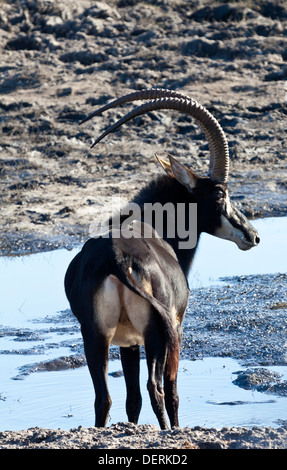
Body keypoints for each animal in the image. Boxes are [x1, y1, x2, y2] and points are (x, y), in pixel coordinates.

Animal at [65, 89, 260, 430]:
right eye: (221, 194)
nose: (252, 235)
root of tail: (117, 257)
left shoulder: (128, 342)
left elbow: (132, 401)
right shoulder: (176, 327)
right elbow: (171, 391)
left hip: (96, 335)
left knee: (105, 398)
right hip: (158, 333)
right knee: (156, 388)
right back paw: (168, 430)